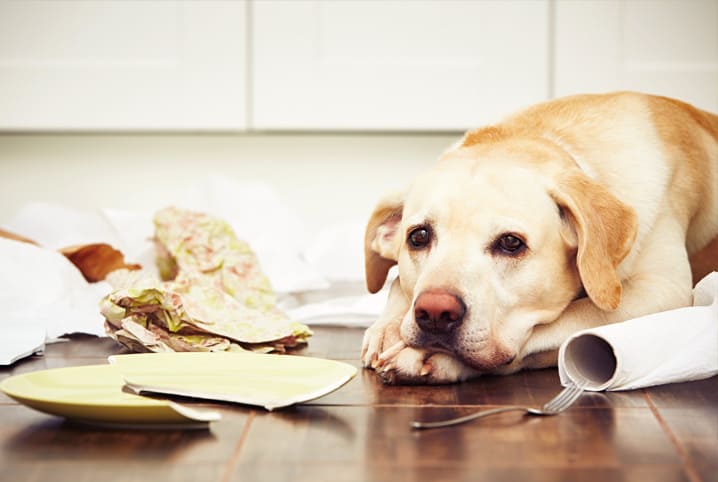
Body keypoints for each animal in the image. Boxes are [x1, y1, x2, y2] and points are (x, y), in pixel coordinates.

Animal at [366, 90, 718, 384]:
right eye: (419, 236)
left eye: (511, 243)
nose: (435, 312)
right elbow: (397, 284)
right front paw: (388, 327)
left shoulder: (664, 289)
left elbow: (569, 319)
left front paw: (427, 356)